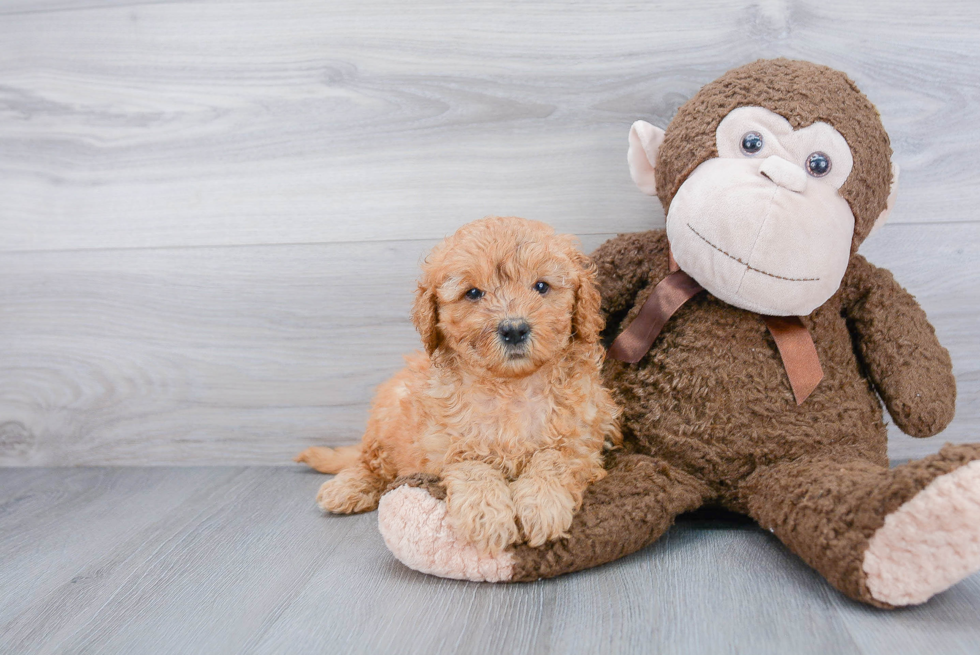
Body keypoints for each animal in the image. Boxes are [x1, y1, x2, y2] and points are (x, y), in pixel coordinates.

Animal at [296, 218, 620, 556]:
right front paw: (487, 515)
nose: (514, 329)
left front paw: (542, 504)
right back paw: (347, 487)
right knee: (372, 464)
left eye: (541, 286)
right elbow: (472, 466)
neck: (513, 385)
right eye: (473, 293)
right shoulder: (443, 445)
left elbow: (554, 459)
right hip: (386, 420)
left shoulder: (583, 443)